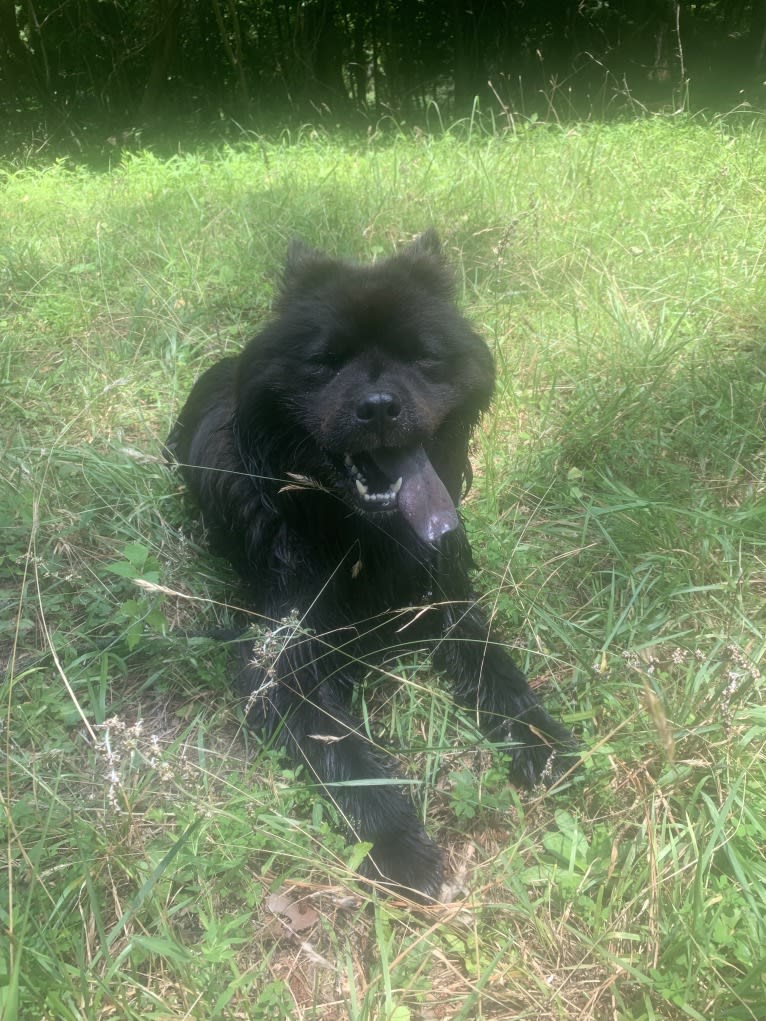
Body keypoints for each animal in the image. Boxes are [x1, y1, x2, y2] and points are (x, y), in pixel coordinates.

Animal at [169, 233, 576, 902]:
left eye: (422, 357)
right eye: (326, 362)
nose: (380, 406)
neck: (359, 532)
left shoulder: (450, 604)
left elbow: (498, 673)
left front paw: (542, 742)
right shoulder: (282, 663)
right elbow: (349, 758)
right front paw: (400, 846)